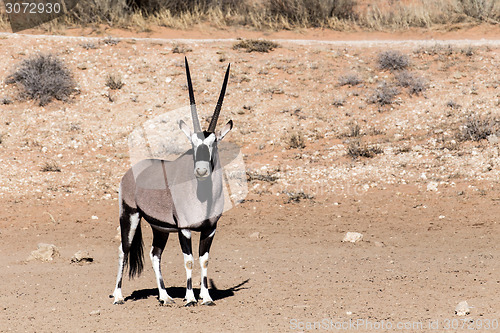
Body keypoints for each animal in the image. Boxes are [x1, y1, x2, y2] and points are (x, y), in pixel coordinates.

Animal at [111, 57, 232, 306]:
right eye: (193, 143)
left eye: (213, 143)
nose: (201, 170)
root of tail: (131, 172)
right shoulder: (184, 229)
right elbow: (189, 260)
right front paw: (190, 298)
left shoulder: (210, 229)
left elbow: (204, 260)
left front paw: (206, 297)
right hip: (130, 215)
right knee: (123, 249)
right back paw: (118, 295)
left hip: (160, 227)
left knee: (154, 254)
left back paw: (164, 296)